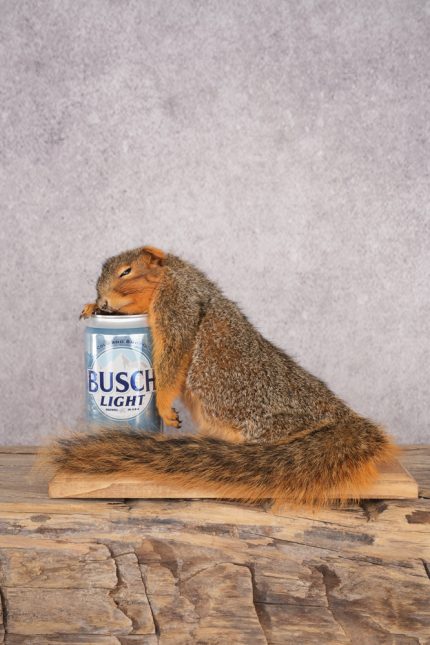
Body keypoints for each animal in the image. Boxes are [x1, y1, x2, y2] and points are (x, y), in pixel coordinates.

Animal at [42, 245, 398, 507]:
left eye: (126, 271)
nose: (103, 300)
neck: (173, 275)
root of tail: (340, 420)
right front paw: (91, 308)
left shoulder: (179, 305)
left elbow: (173, 356)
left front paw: (163, 407)